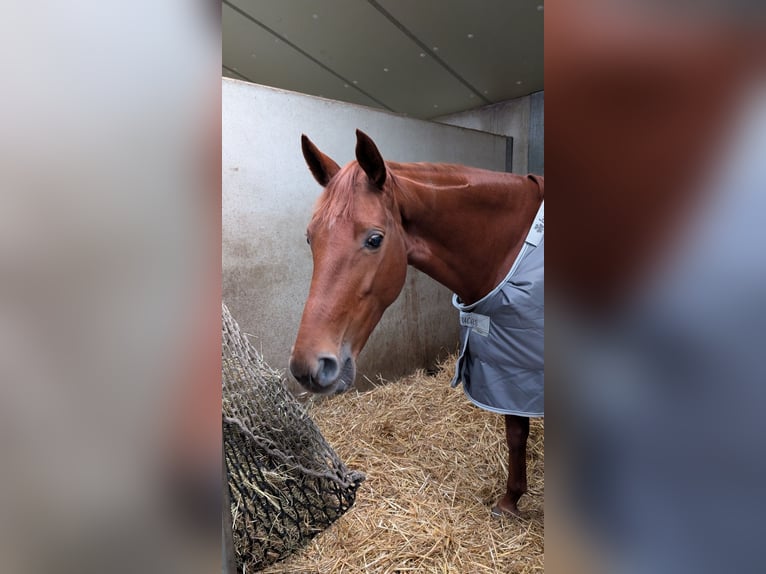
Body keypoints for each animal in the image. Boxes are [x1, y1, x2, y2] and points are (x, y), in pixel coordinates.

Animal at [289, 129, 544, 518]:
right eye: (309, 237)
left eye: (374, 239)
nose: (308, 366)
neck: (514, 249)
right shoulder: (508, 366)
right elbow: (515, 431)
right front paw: (510, 501)